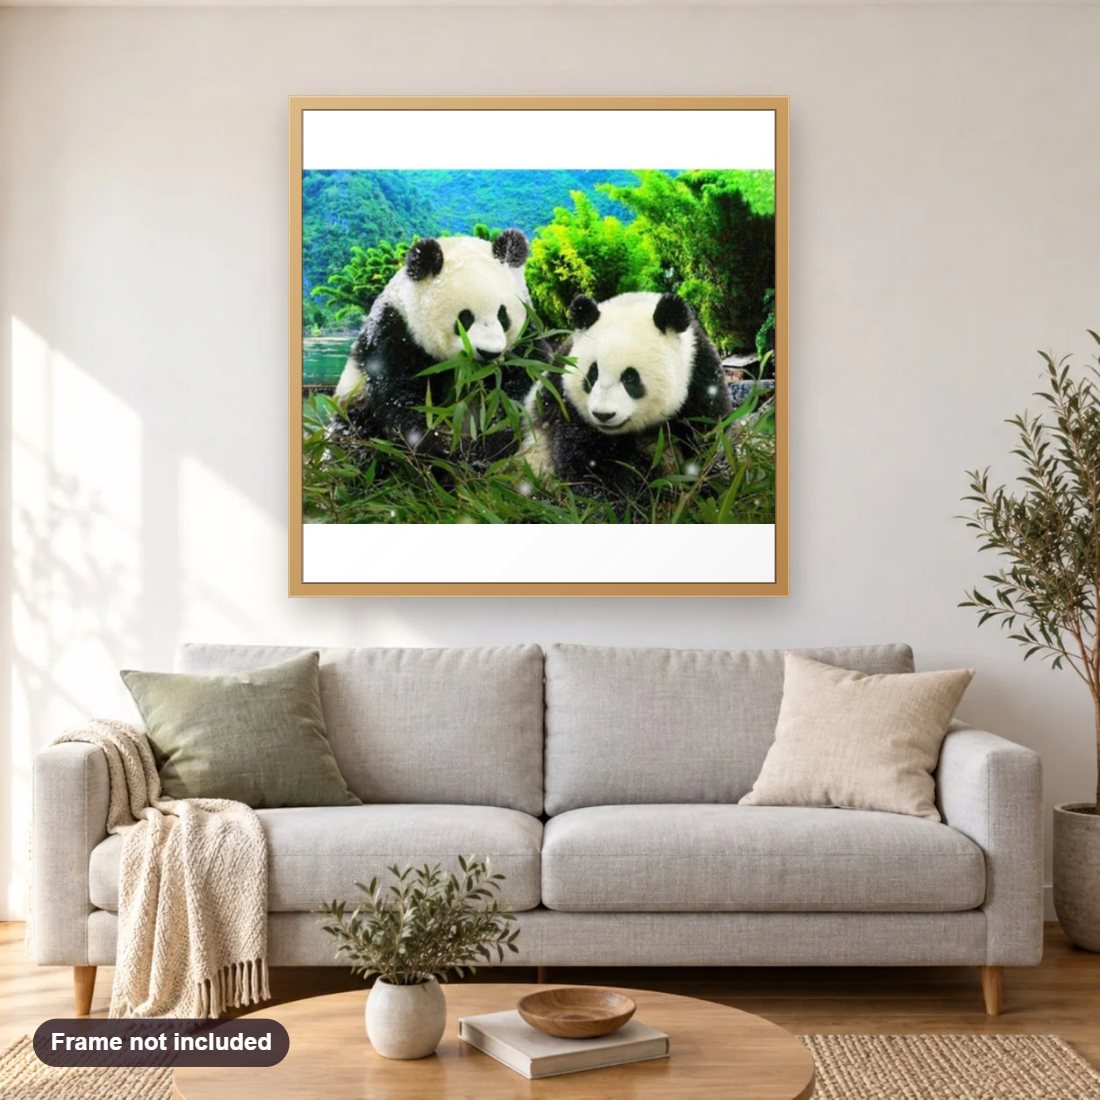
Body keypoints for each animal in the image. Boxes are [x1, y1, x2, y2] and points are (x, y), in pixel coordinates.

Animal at [332, 229, 540, 460]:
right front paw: (441, 446)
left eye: (503, 316)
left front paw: (491, 441)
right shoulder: (395, 334)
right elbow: (400, 398)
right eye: (465, 318)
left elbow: (523, 386)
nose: (489, 352)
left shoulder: (526, 340)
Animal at [522, 291, 732, 497]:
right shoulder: (566, 403)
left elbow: (705, 437)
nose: (603, 415)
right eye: (593, 374)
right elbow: (586, 458)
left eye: (630, 377)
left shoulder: (699, 378)